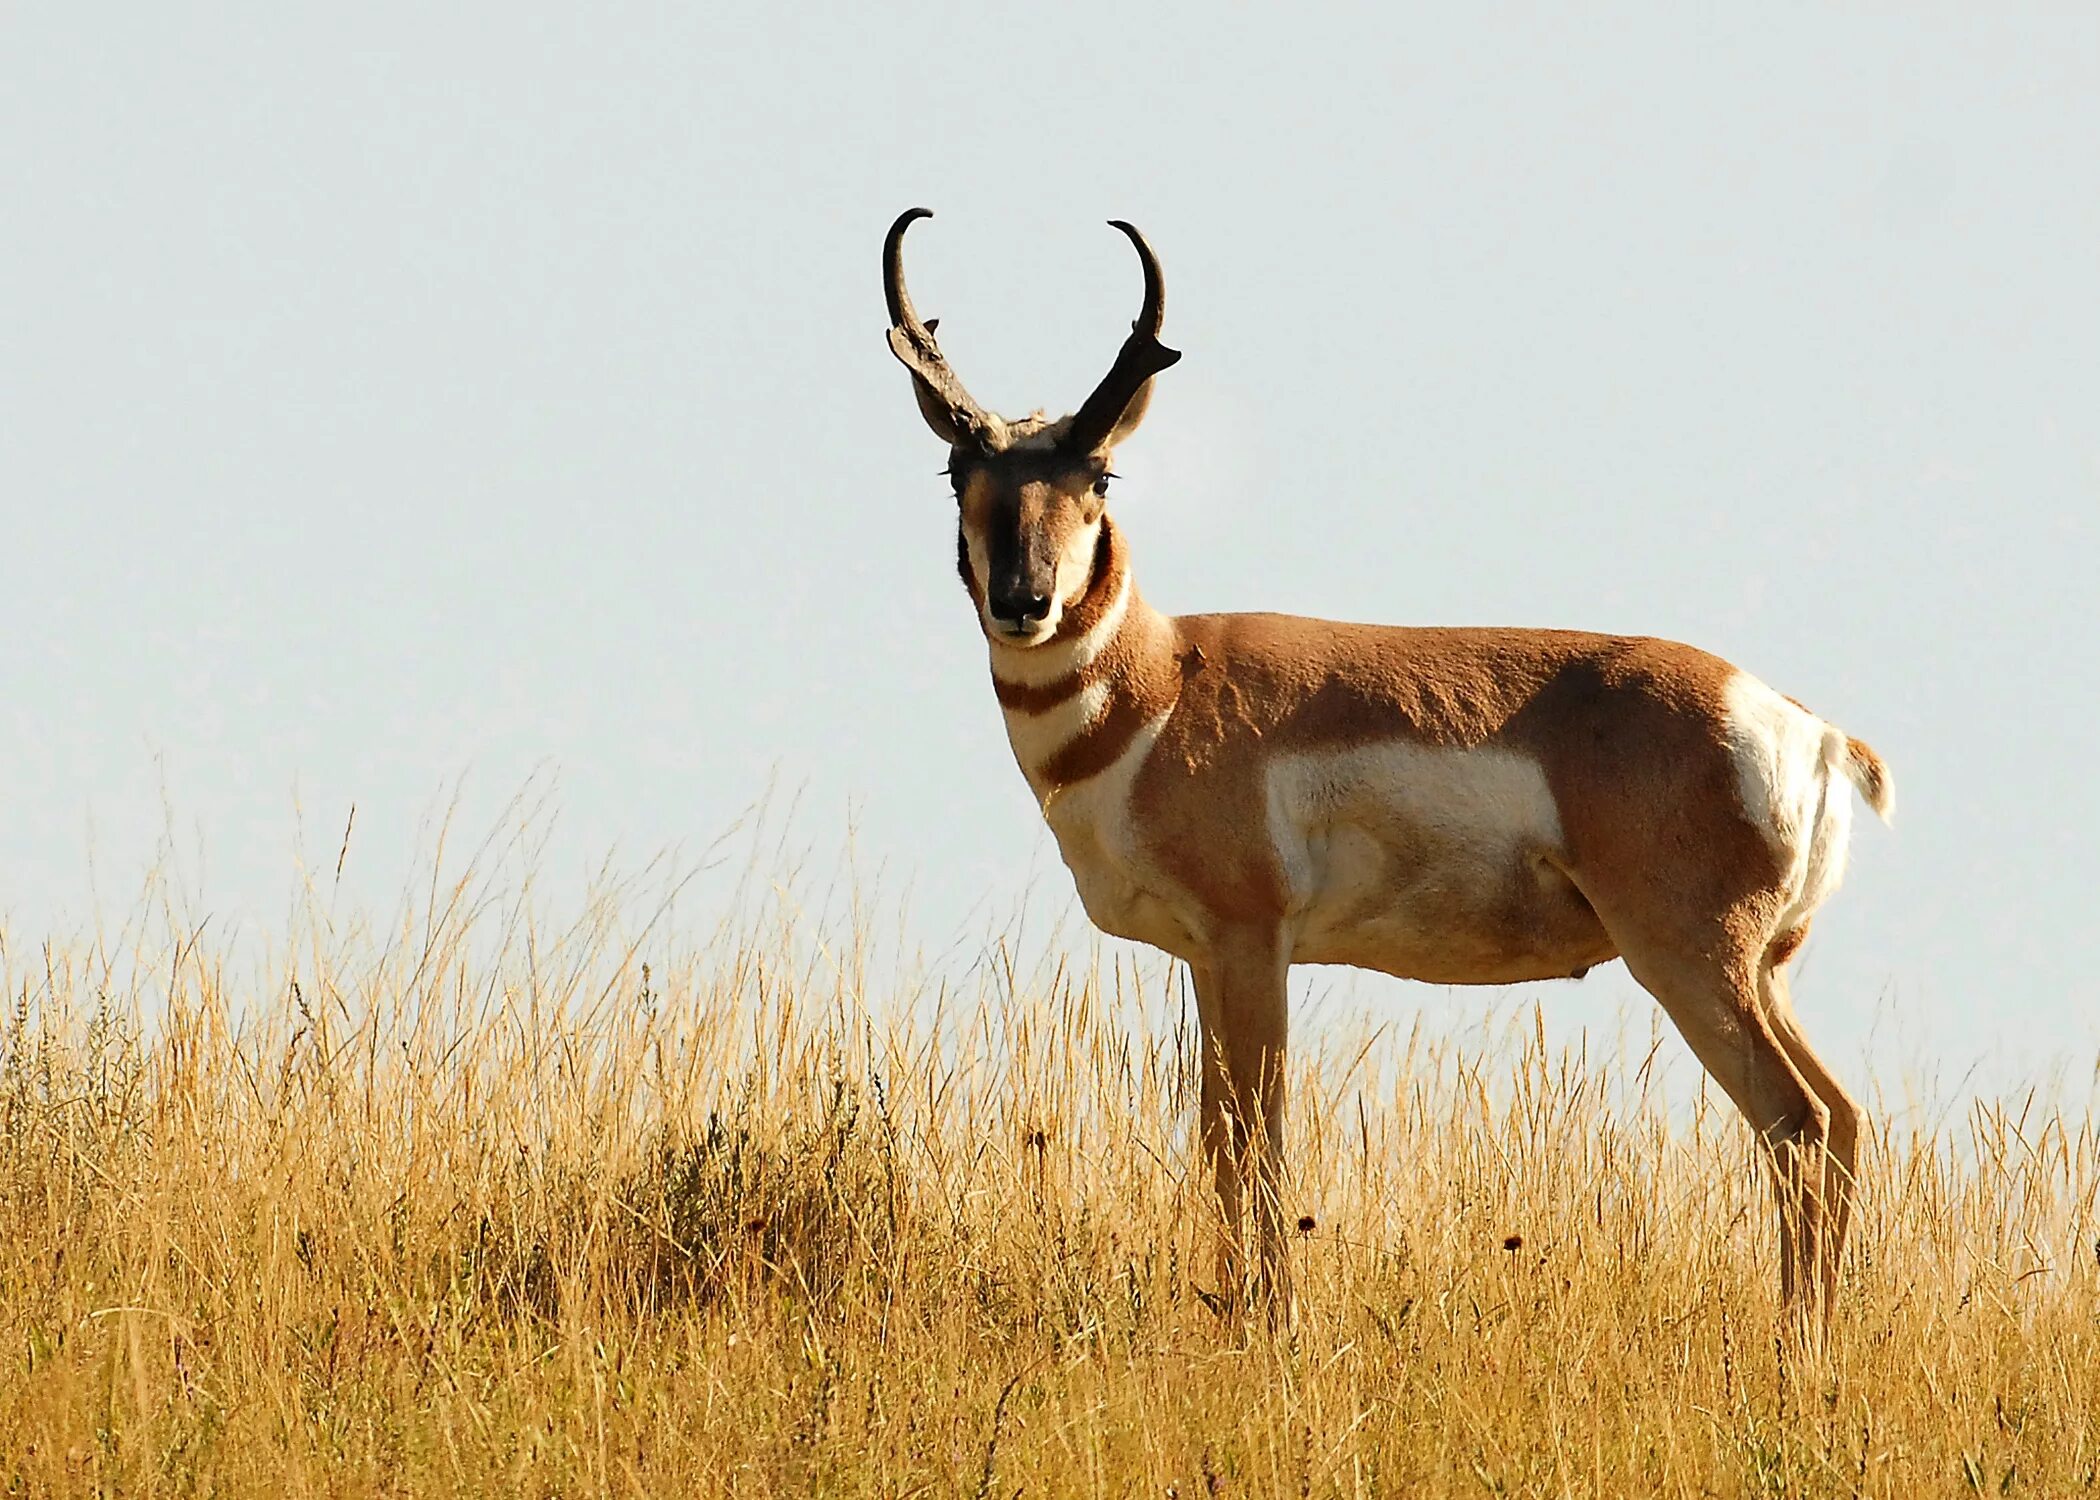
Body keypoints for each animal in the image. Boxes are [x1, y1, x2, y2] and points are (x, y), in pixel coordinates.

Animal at [881, 207, 1893, 1337]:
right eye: (960, 474)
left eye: (1099, 475)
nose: (1024, 600)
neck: (1165, 681)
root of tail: (1804, 727)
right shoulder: (1203, 959)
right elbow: (1217, 1140)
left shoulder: (1252, 946)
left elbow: (1258, 1142)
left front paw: (1269, 1328)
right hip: (1763, 970)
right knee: (1842, 1119)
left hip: (1689, 960)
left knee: (1797, 1122)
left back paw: (1793, 1349)